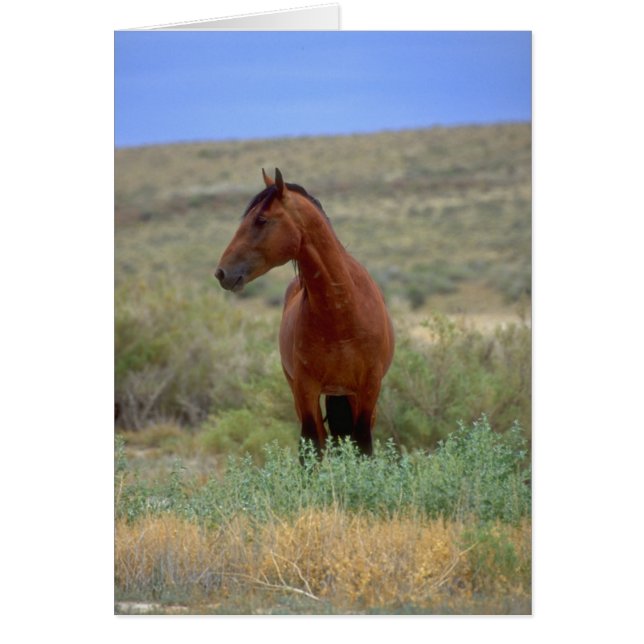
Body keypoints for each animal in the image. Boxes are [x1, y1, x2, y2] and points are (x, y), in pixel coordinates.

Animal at [215, 168, 395, 457]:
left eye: (261, 219)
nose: (222, 272)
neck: (341, 313)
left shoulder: (369, 387)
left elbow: (363, 446)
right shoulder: (305, 388)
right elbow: (312, 446)